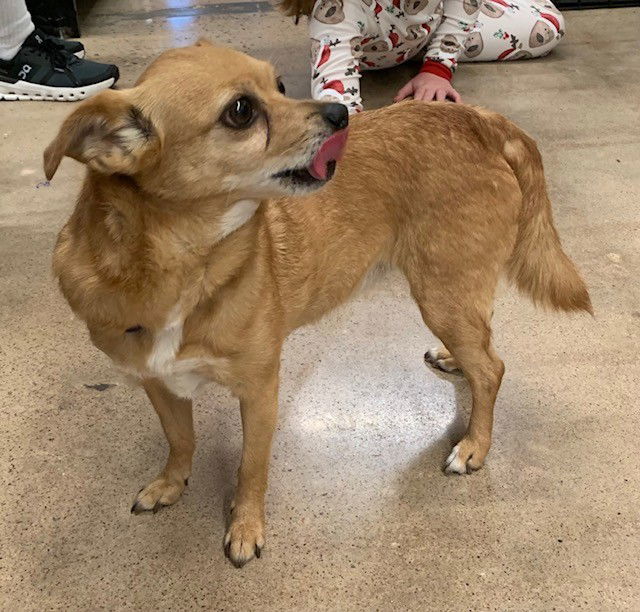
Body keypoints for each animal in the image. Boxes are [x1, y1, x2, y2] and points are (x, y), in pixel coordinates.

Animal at [42, 40, 592, 568]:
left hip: (441, 294)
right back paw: (457, 361)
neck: (182, 265)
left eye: (280, 85)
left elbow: (250, 468)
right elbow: (181, 441)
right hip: (458, 291)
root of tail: (482, 121)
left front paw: (245, 528)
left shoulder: (260, 391)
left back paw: (474, 446)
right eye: (241, 111)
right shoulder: (159, 384)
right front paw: (171, 484)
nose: (340, 113)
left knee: (492, 368)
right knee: (483, 345)